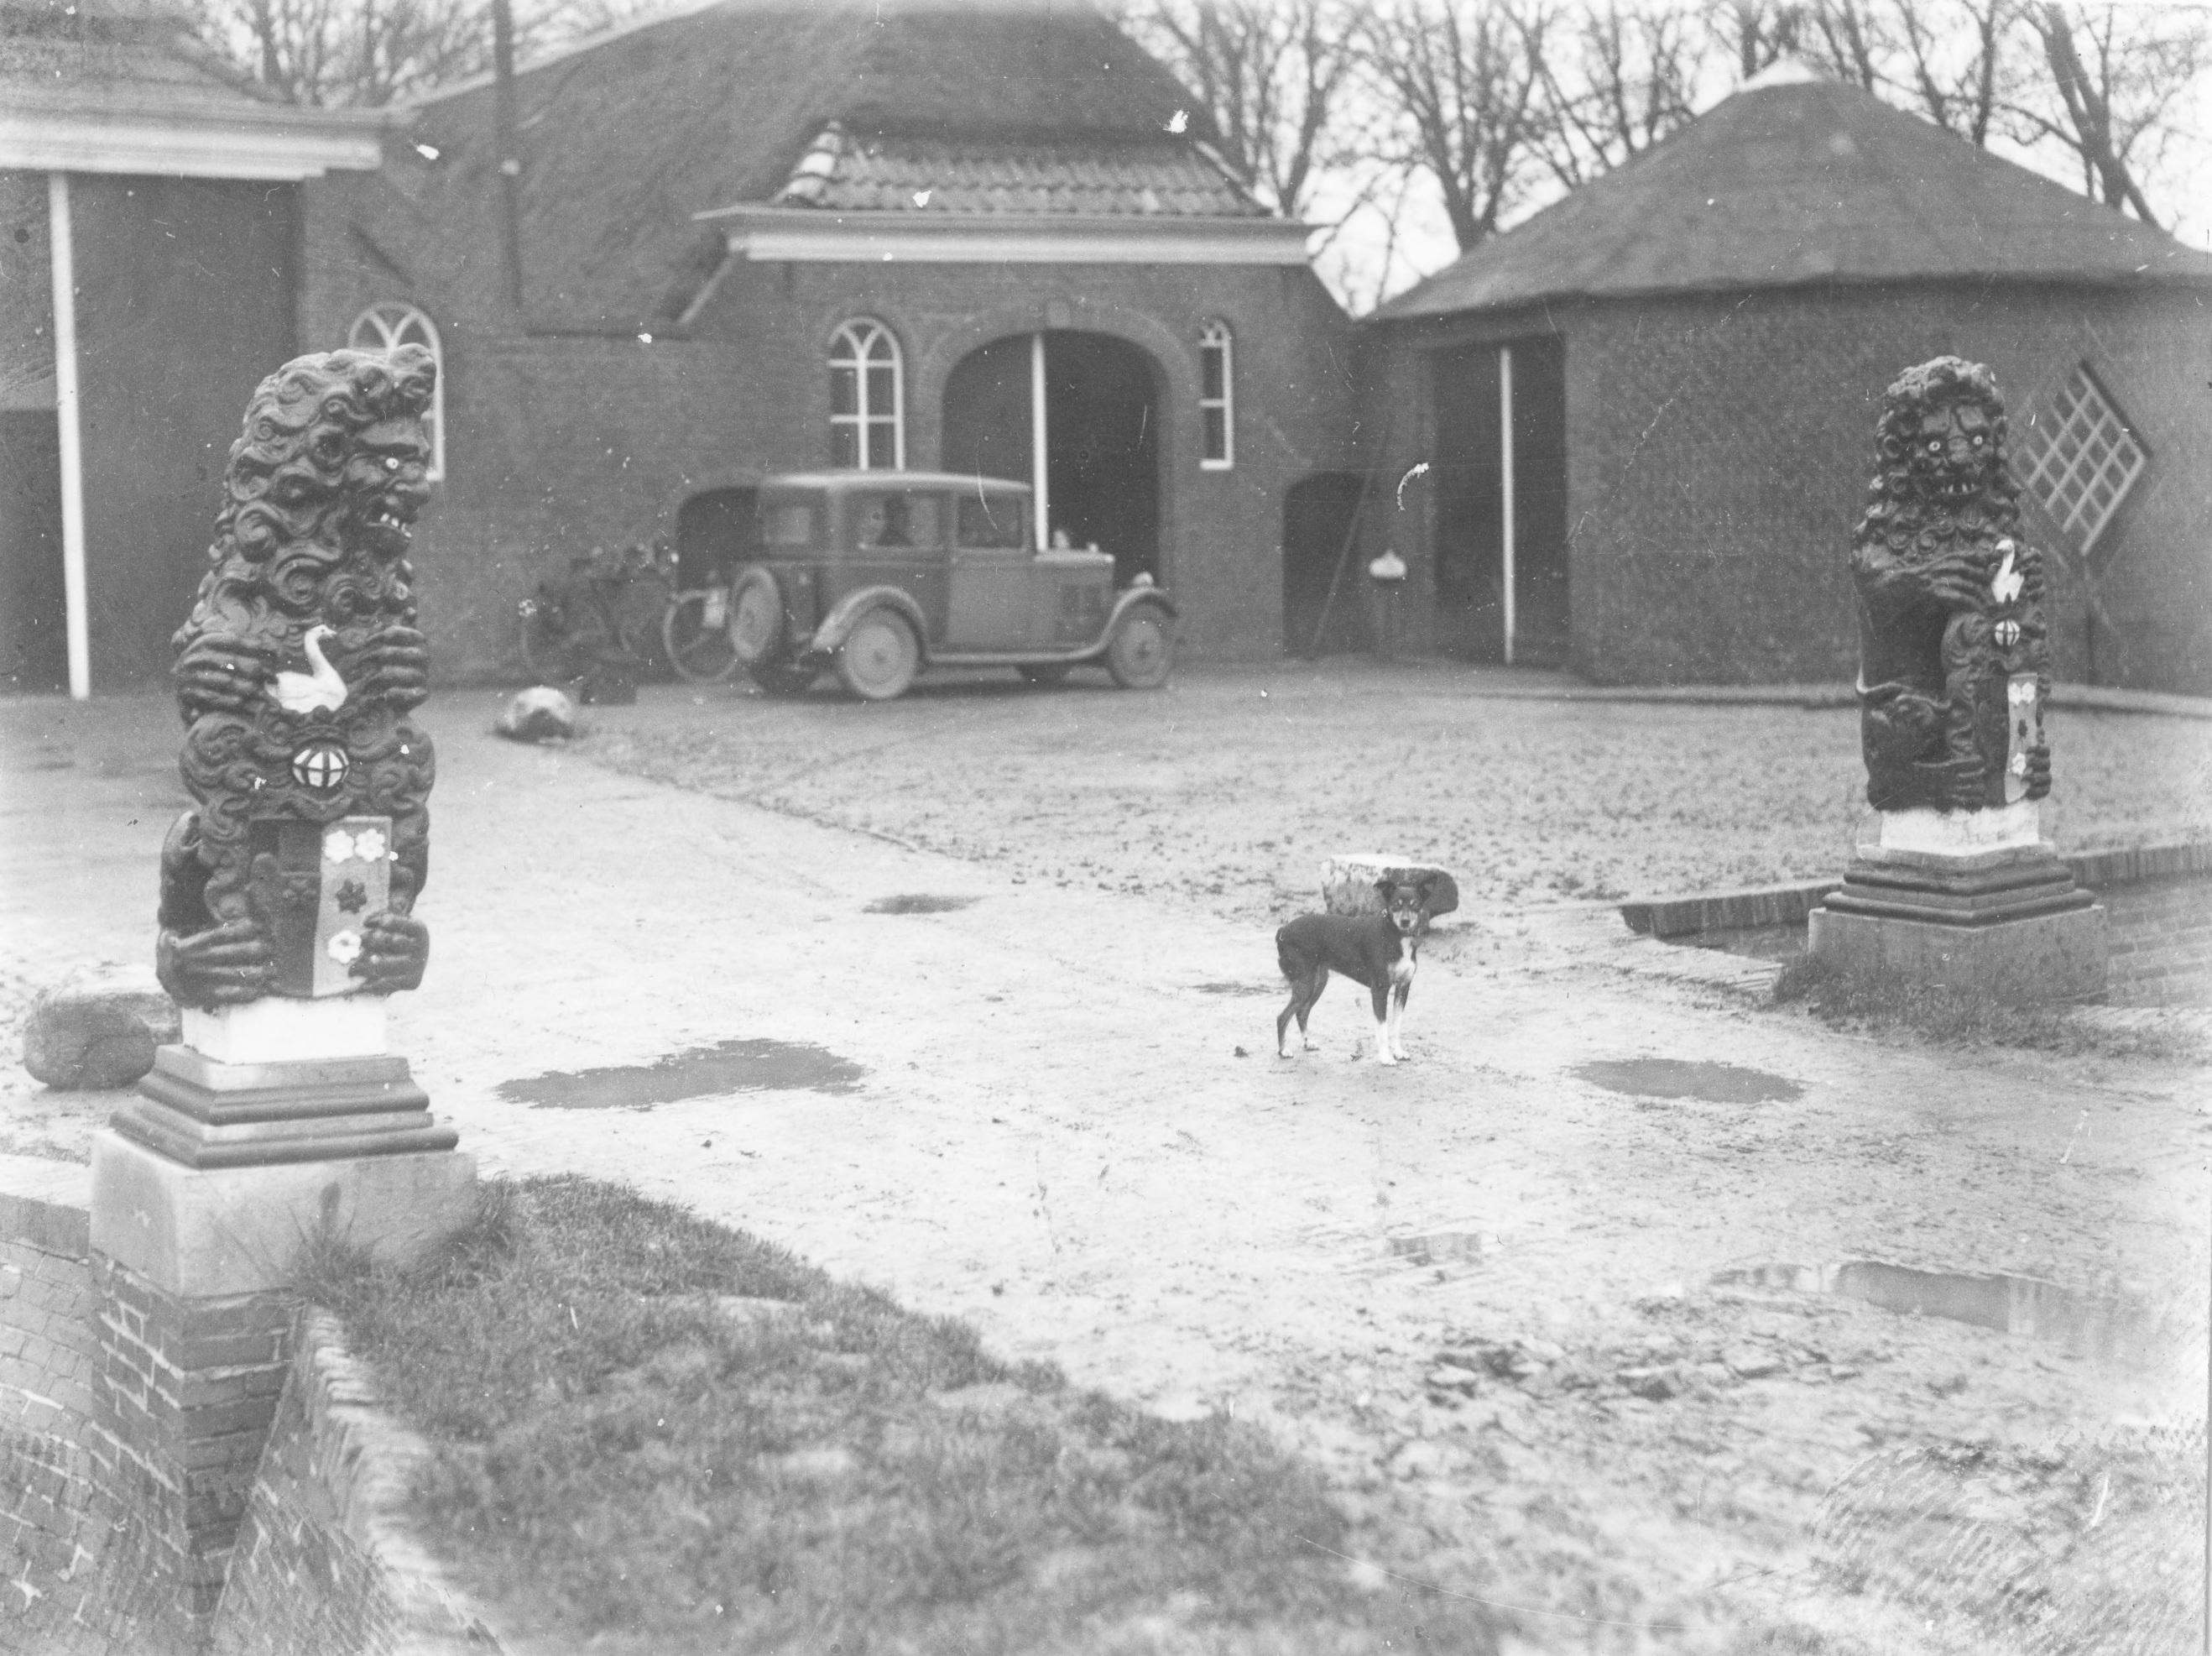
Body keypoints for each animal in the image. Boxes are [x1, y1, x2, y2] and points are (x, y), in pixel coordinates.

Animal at [1274, 872, 1442, 1067]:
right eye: (1395, 905)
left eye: (1415, 905)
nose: (1405, 921)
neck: (1395, 935)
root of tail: (1282, 930)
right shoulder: (1380, 990)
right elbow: (1382, 1028)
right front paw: (1386, 1057)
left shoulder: (1403, 987)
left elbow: (1396, 1026)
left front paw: (1398, 1053)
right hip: (1305, 984)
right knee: (1283, 1017)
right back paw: (1283, 1050)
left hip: (1318, 982)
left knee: (1301, 1013)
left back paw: (1307, 1043)